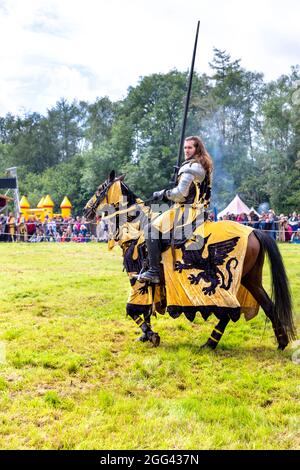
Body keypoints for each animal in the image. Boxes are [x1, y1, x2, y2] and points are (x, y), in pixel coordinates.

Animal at [82, 171, 296, 350]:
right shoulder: (149, 285)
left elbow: (133, 309)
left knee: (227, 310)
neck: (137, 228)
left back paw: (210, 343)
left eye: (100, 189)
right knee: (268, 306)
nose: (85, 211)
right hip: (250, 279)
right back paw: (281, 342)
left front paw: (151, 335)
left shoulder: (137, 279)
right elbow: (146, 310)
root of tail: (254, 230)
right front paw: (145, 335)